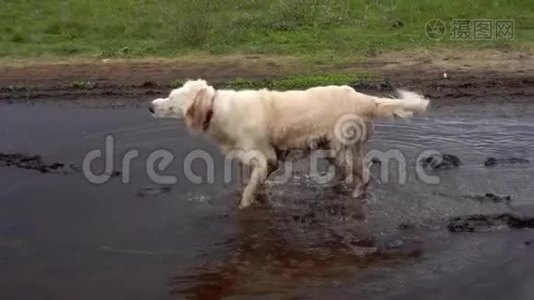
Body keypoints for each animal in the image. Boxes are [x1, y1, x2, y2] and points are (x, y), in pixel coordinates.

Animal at [150, 78, 432, 207]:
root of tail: (364, 98)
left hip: (341, 148)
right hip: (338, 150)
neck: (216, 110)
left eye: (171, 99)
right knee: (354, 173)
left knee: (364, 177)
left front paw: (244, 207)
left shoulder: (264, 158)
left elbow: (248, 191)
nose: (151, 106)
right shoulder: (252, 160)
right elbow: (248, 184)